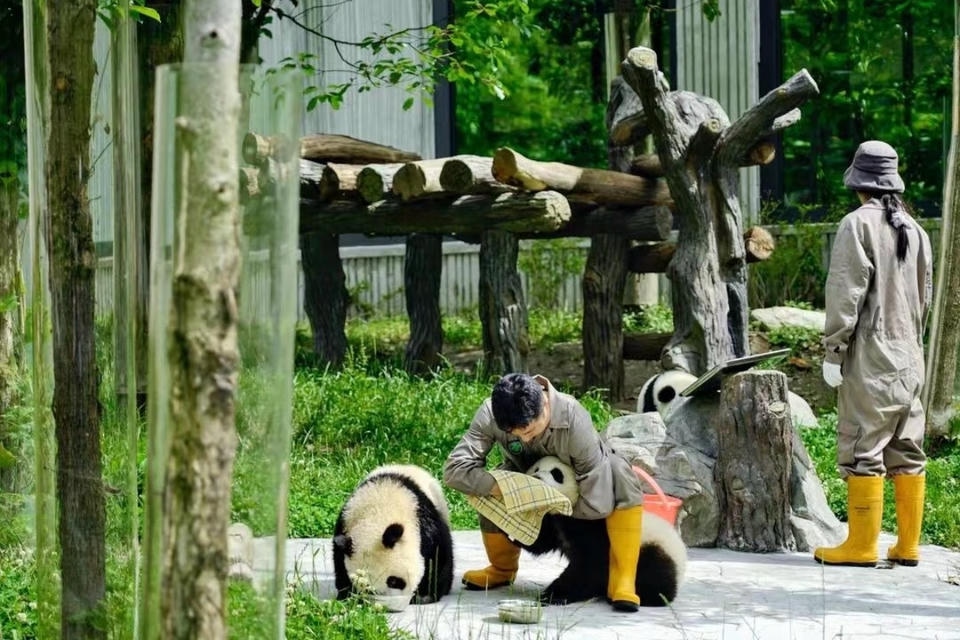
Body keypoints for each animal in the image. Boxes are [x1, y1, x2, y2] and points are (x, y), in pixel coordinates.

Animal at [332, 464, 454, 611]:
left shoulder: (424, 521)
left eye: (394, 581)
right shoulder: (344, 525)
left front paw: (425, 596)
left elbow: (436, 557)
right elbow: (339, 562)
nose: (387, 602)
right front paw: (346, 595)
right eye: (367, 586)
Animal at [524, 456, 687, 607]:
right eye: (536, 468)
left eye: (557, 474)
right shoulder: (556, 525)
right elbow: (539, 543)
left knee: (654, 574)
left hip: (654, 549)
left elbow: (589, 564)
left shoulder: (595, 526)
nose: (537, 478)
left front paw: (553, 595)